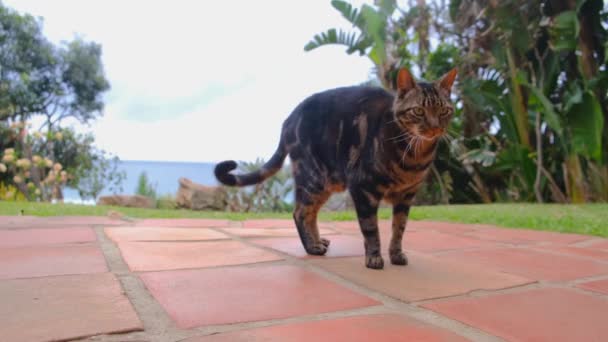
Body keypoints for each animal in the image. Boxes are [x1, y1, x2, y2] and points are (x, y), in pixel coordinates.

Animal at [214, 68, 456, 268]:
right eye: (419, 111)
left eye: (444, 111)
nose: (435, 128)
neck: (415, 156)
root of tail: (288, 120)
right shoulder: (363, 189)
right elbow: (371, 229)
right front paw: (374, 257)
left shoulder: (406, 196)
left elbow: (399, 229)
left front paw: (396, 255)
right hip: (313, 178)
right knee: (300, 212)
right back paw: (312, 247)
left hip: (326, 183)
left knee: (310, 214)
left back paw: (318, 241)